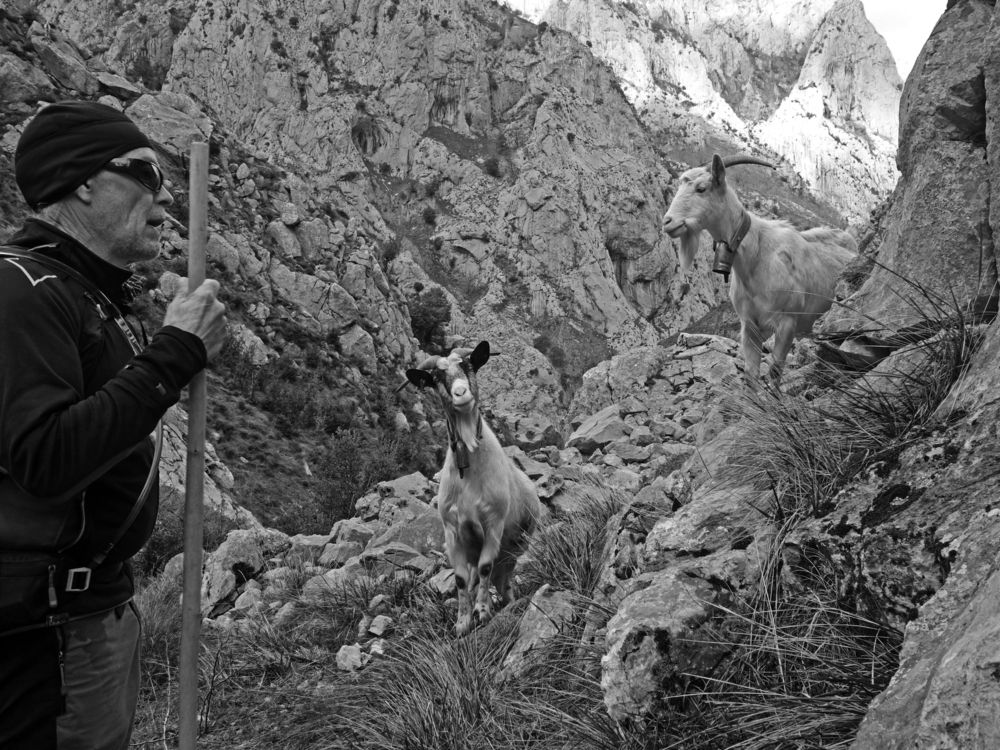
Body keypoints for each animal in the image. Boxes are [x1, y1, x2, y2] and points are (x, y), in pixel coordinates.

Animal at [406, 341, 541, 635]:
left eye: (469, 366)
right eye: (436, 378)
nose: (461, 393)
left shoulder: (493, 523)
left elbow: (484, 568)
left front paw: (481, 611)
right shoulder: (453, 532)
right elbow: (459, 579)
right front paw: (462, 622)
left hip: (513, 548)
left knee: (500, 579)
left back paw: (504, 603)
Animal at [662, 154, 858, 385]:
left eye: (701, 188)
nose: (667, 222)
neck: (756, 256)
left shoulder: (787, 323)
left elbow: (774, 372)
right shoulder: (750, 326)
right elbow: (751, 375)